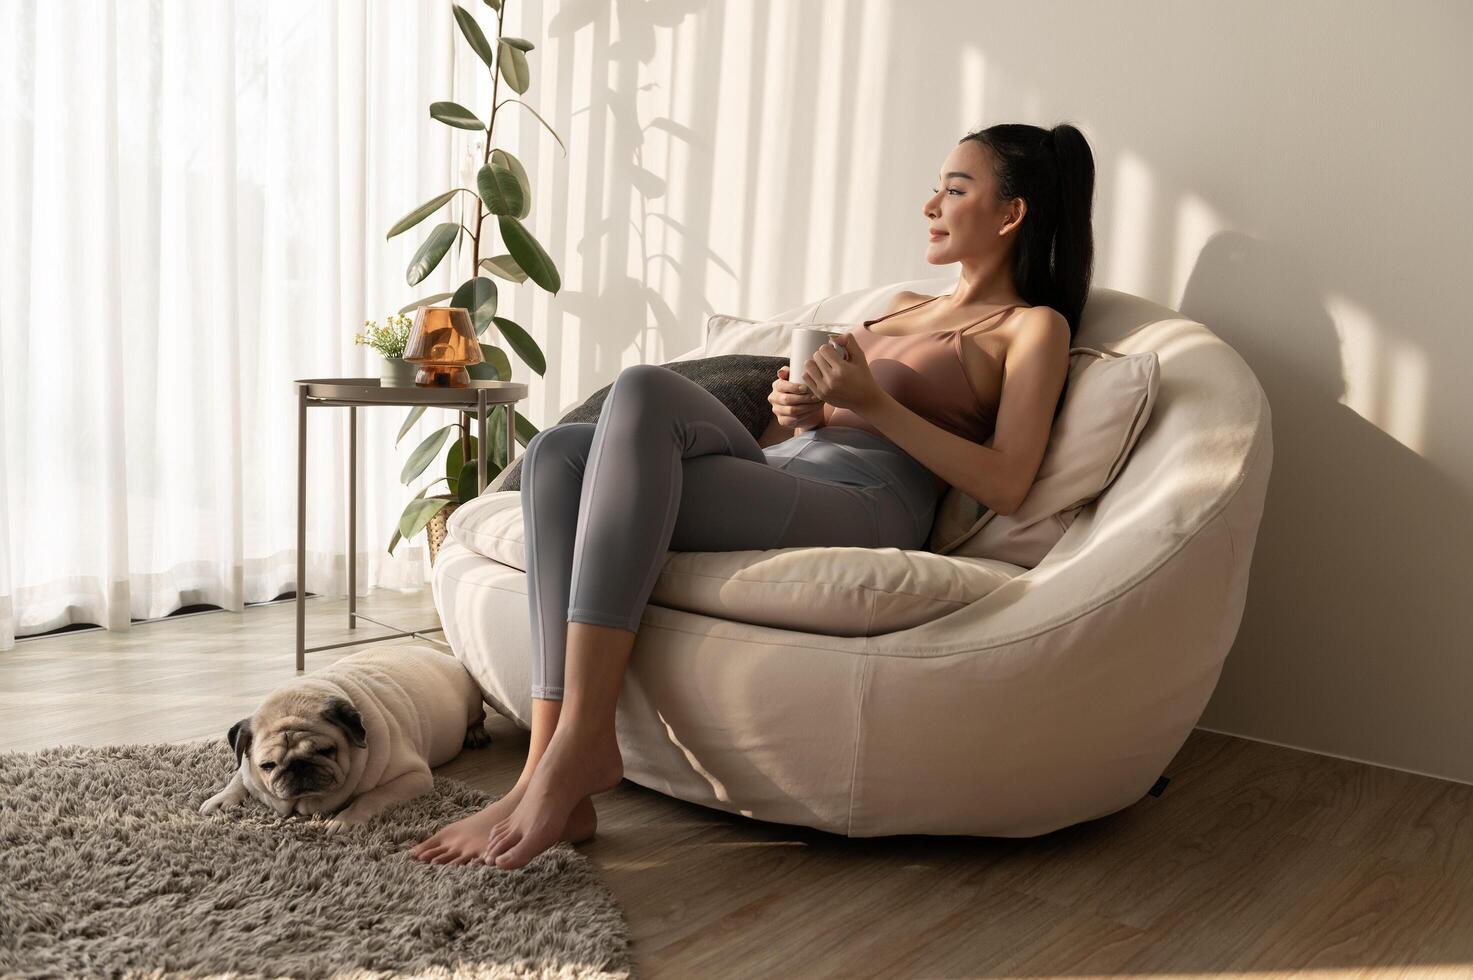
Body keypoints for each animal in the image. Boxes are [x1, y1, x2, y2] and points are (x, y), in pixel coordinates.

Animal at [198, 645, 494, 831]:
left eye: (326, 750)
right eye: (267, 766)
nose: (298, 767)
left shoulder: (413, 776)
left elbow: (372, 797)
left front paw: (345, 819)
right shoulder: (247, 764)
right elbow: (239, 777)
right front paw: (222, 799)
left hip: (471, 701)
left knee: (477, 717)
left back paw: (476, 733)